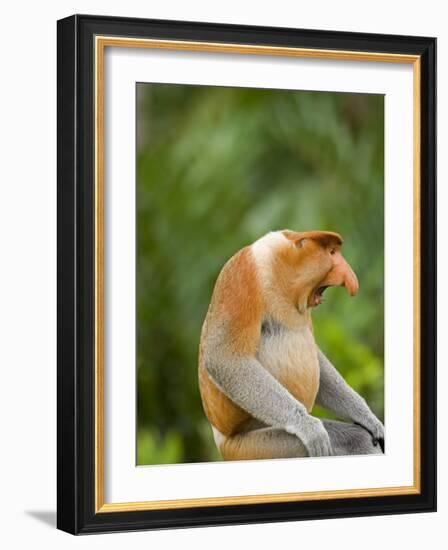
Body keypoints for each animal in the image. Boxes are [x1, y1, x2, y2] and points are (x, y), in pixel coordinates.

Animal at [200, 230, 384, 462]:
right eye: (332, 253)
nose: (351, 280)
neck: (279, 266)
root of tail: (223, 443)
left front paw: (368, 418)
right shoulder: (242, 275)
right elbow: (224, 357)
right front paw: (308, 427)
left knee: (357, 440)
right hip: (255, 446)